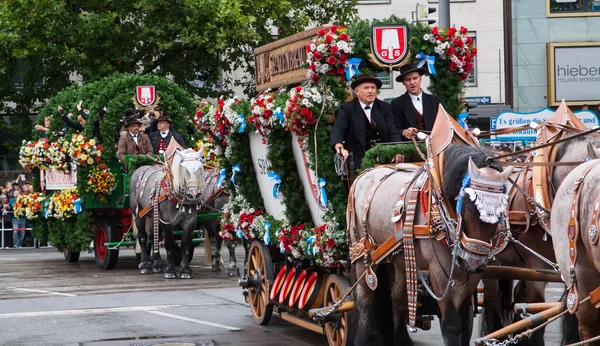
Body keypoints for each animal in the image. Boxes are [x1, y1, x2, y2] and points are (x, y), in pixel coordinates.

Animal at [130, 149, 205, 278]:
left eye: (200, 169)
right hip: (139, 214)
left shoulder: (190, 221)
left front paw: (185, 270)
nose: (193, 195)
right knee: (143, 236)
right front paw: (170, 270)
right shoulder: (167, 221)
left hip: (153, 217)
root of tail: (140, 169)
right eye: (184, 170)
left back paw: (157, 264)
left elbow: (185, 243)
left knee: (153, 237)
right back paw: (145, 265)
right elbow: (169, 243)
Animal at [350, 144, 512, 346]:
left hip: (402, 259)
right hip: (362, 252)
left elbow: (465, 321)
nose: (473, 262)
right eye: (468, 206)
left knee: (398, 298)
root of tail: (364, 173)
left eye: (501, 211)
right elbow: (451, 323)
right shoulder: (438, 271)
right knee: (365, 298)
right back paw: (365, 338)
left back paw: (402, 339)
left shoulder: (473, 276)